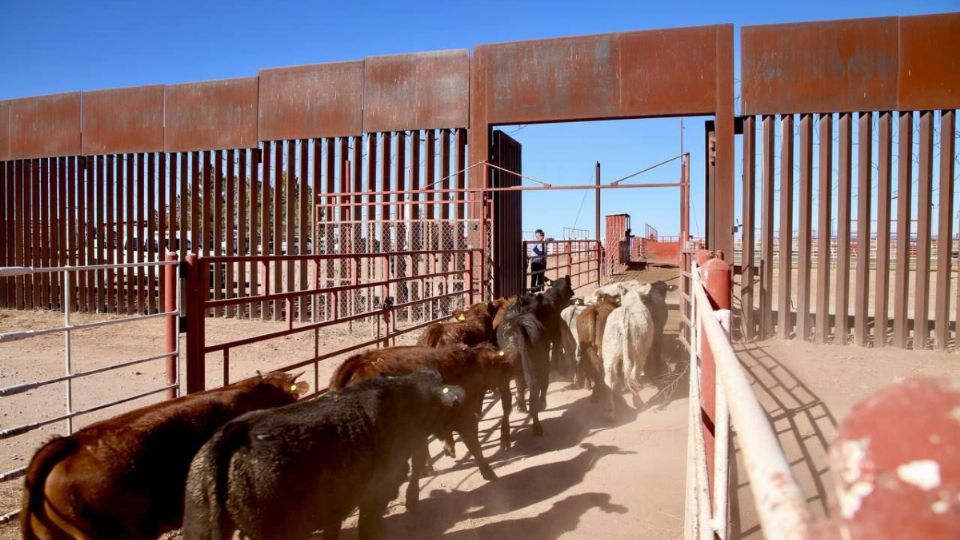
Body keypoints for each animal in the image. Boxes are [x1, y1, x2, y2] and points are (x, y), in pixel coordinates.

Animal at [330, 344, 512, 508]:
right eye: (501, 365)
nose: (510, 370)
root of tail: (359, 361)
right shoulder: (463, 419)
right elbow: (474, 446)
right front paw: (489, 472)